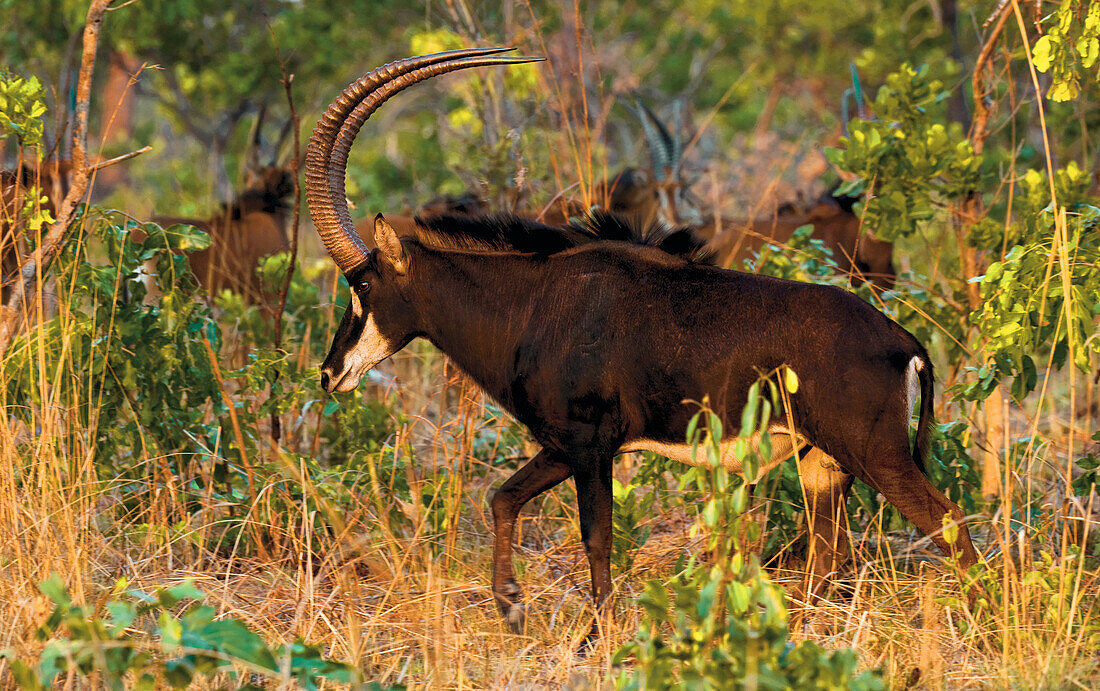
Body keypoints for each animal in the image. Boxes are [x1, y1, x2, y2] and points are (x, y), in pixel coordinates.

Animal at [303, 48, 981, 642]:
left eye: (362, 285)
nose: (331, 373)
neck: (531, 303)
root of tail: (900, 338)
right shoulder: (565, 444)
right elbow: (502, 498)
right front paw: (512, 609)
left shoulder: (588, 443)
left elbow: (596, 537)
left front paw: (592, 639)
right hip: (821, 466)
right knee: (826, 559)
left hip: (876, 456)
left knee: (950, 530)